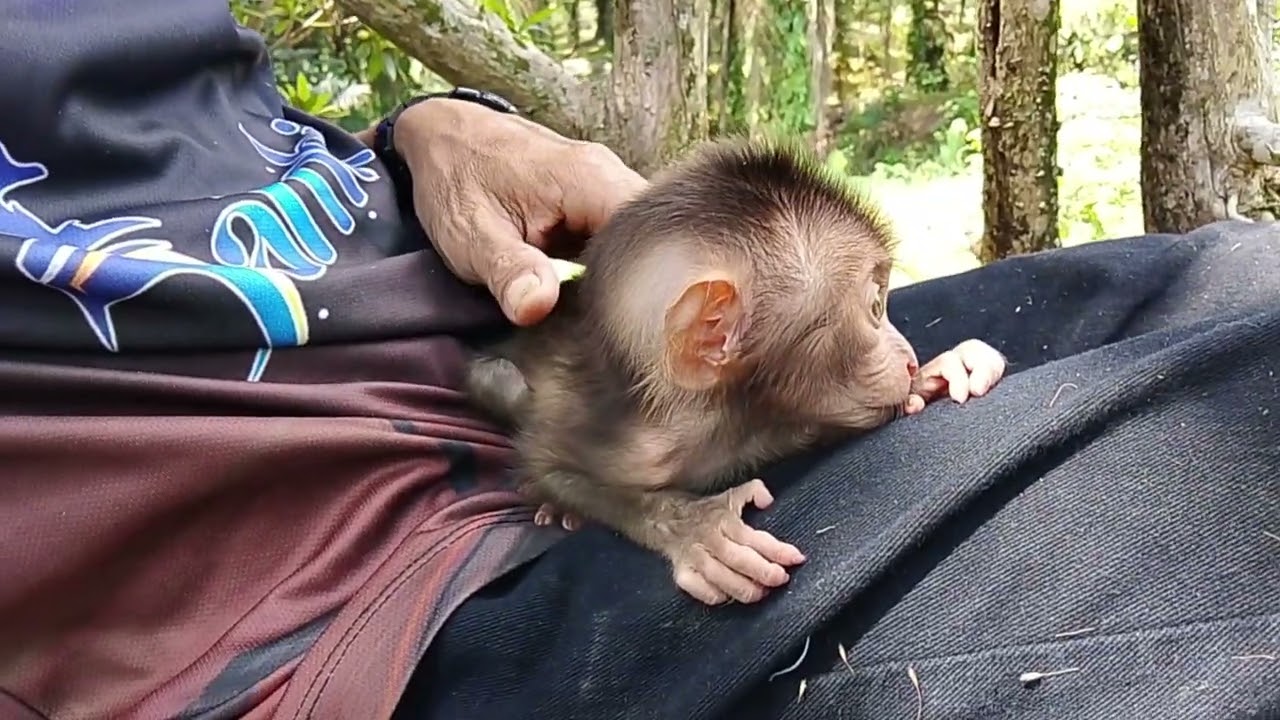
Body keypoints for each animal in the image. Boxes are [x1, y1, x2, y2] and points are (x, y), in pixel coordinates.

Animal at [463, 137, 1006, 606]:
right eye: (875, 307)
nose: (909, 356)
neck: (728, 415)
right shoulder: (631, 439)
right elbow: (551, 467)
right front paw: (695, 527)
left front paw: (941, 371)